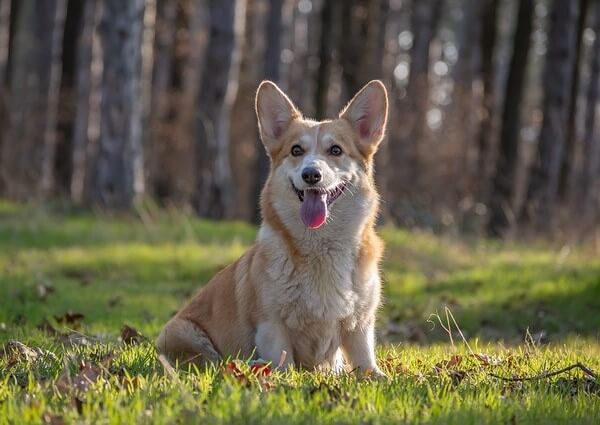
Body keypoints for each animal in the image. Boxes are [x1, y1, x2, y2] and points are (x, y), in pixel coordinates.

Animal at [156, 79, 390, 374]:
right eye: (296, 150)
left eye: (335, 150)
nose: (311, 175)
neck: (322, 246)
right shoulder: (271, 325)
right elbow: (284, 365)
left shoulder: (360, 326)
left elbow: (366, 364)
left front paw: (375, 376)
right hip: (184, 331)